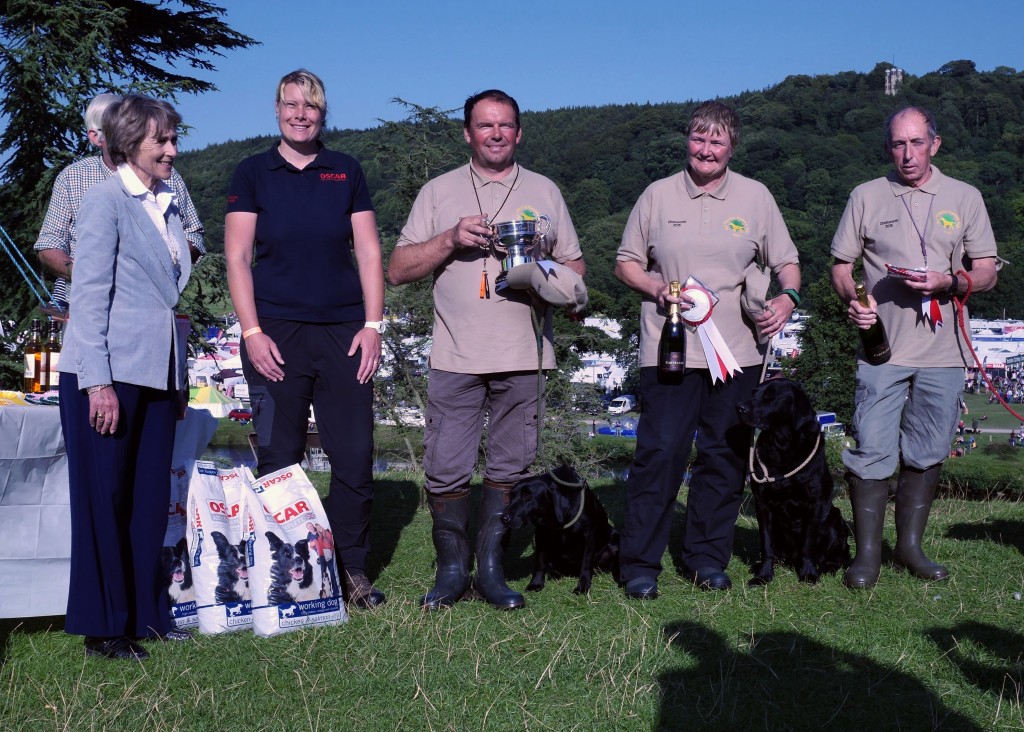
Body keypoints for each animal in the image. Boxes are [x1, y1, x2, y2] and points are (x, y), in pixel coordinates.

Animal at [499, 464, 618, 593]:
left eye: (527, 496)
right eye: (511, 497)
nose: (503, 518)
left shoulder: (590, 534)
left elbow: (586, 563)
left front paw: (583, 586)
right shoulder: (541, 533)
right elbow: (540, 562)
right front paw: (536, 583)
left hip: (615, 538)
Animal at [737, 380, 847, 585]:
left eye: (770, 396)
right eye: (754, 393)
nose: (739, 407)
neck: (782, 446)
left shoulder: (814, 504)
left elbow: (808, 545)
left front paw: (809, 573)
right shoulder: (762, 504)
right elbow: (766, 545)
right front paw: (763, 575)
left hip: (835, 520)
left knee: (837, 557)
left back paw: (827, 567)